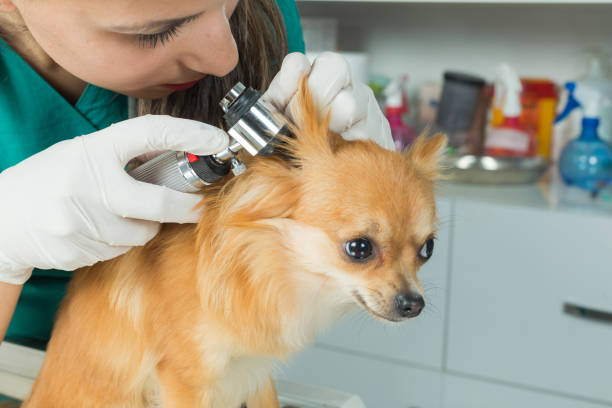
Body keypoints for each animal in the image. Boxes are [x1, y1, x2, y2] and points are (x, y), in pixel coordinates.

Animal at [22, 77, 444, 408]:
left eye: (428, 249)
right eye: (359, 248)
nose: (414, 303)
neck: (264, 266)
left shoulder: (254, 371)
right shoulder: (186, 378)